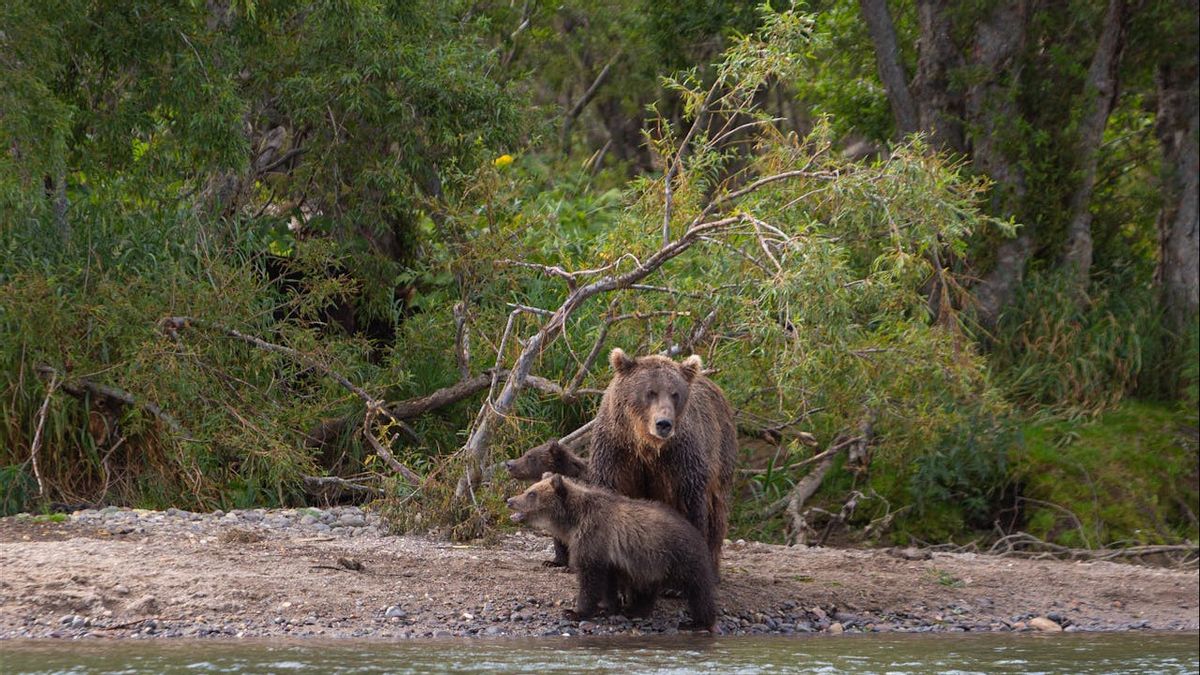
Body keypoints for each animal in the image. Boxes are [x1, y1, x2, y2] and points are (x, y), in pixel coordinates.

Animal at [588, 345, 734, 571]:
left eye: (675, 394)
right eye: (650, 392)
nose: (664, 423)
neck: (646, 445)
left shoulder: (681, 458)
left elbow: (690, 505)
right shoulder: (616, 451)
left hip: (721, 454)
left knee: (717, 513)